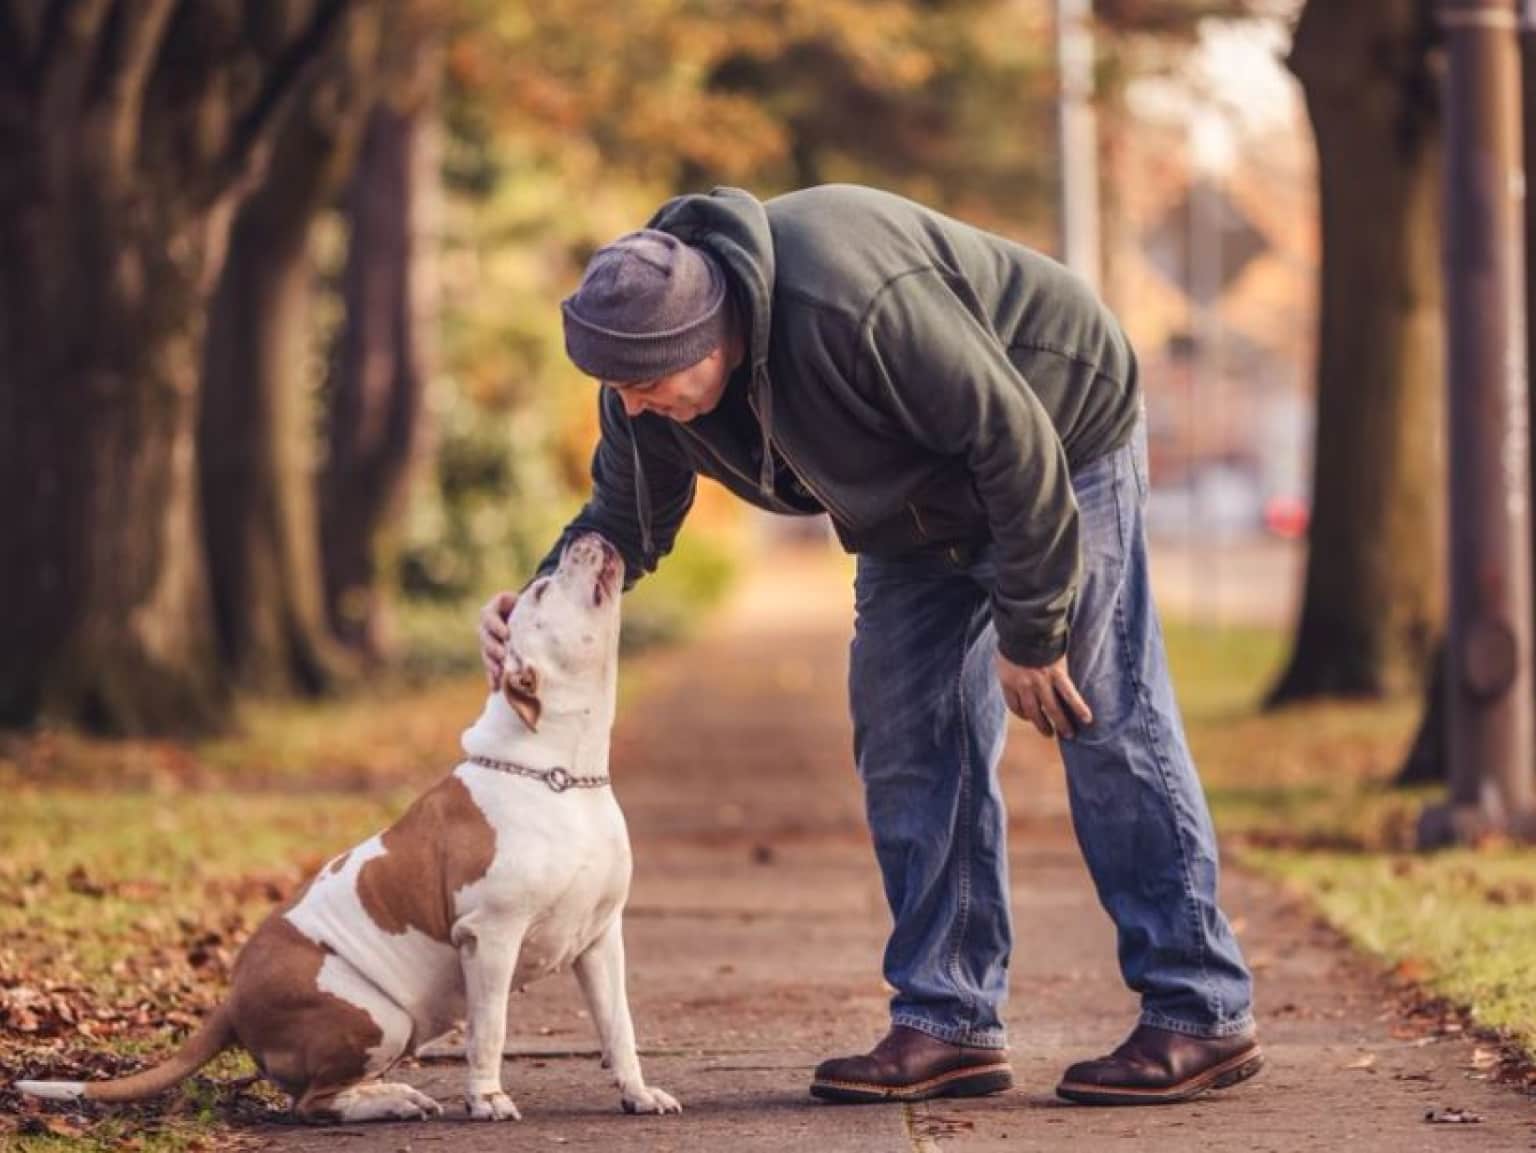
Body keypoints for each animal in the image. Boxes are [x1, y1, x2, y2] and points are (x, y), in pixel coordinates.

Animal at [16, 537, 678, 1123]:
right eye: (542, 589)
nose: (587, 538)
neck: (559, 772)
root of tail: (230, 999)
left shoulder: (600, 940)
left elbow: (619, 1026)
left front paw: (637, 1092)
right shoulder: (491, 938)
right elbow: (489, 1030)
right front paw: (488, 1099)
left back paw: (394, 1095)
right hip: (378, 1016)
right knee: (313, 1103)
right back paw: (391, 1103)